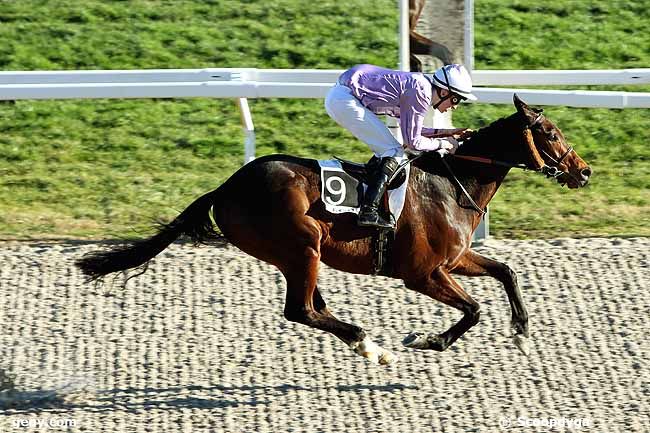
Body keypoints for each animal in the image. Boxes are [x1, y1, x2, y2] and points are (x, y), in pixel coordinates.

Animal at [74, 94, 588, 364]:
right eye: (551, 134)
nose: (583, 172)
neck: (451, 183)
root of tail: (226, 186)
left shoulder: (455, 258)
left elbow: (506, 272)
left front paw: (521, 330)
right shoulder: (422, 273)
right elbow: (475, 309)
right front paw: (428, 340)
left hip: (301, 254)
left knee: (312, 306)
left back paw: (367, 345)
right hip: (301, 247)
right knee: (300, 310)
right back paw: (367, 343)